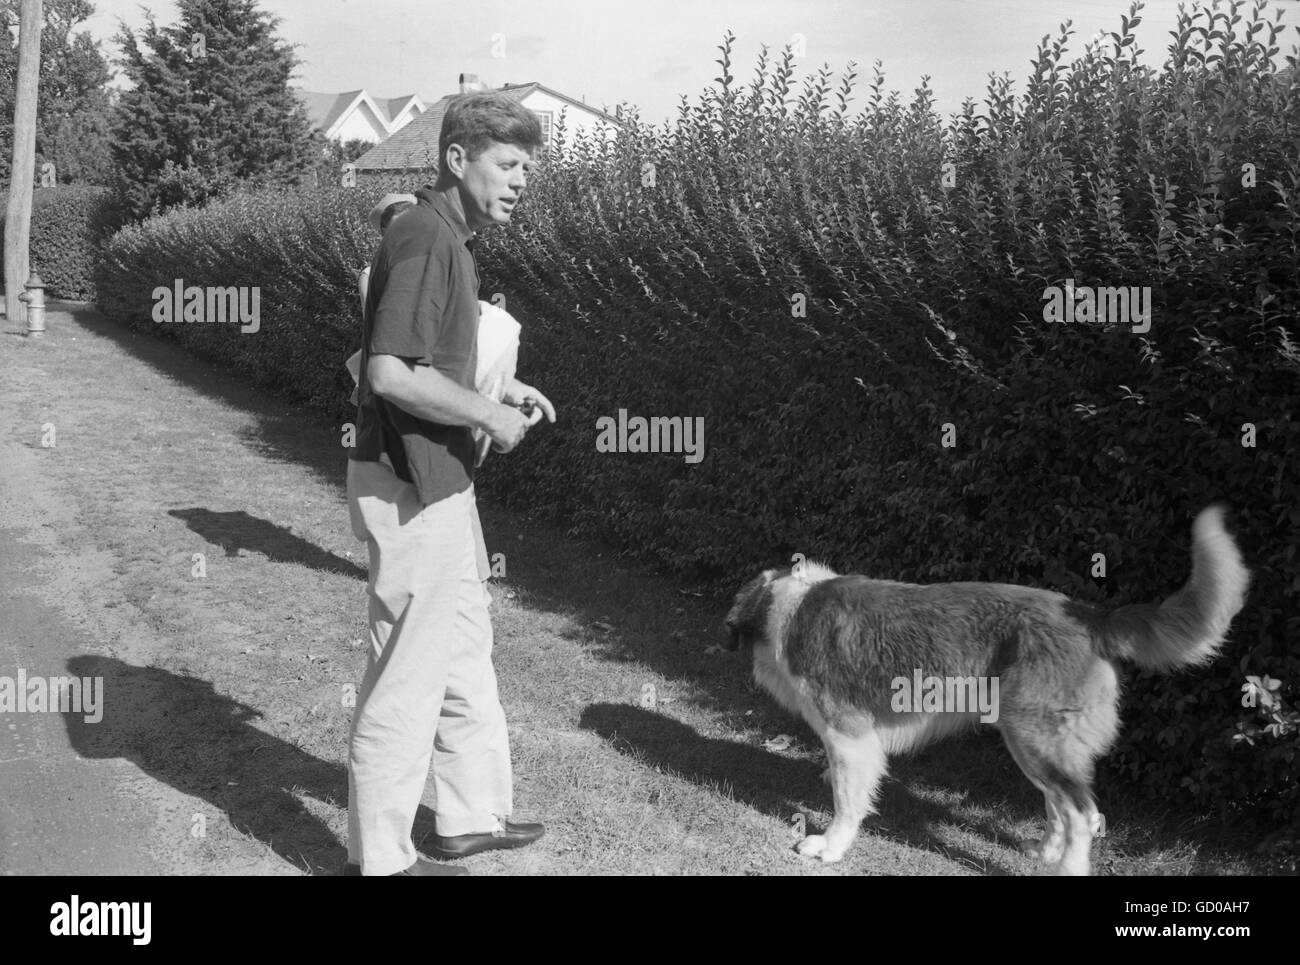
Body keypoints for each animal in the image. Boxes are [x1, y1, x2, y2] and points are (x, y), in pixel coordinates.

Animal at [722, 507, 1248, 879]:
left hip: (1034, 737)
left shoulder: (850, 735)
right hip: (1027, 737)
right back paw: (1046, 850)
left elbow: (848, 801)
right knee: (1059, 804)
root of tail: (1089, 615)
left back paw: (1066, 865)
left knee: (1082, 812)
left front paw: (830, 846)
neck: (787, 606)